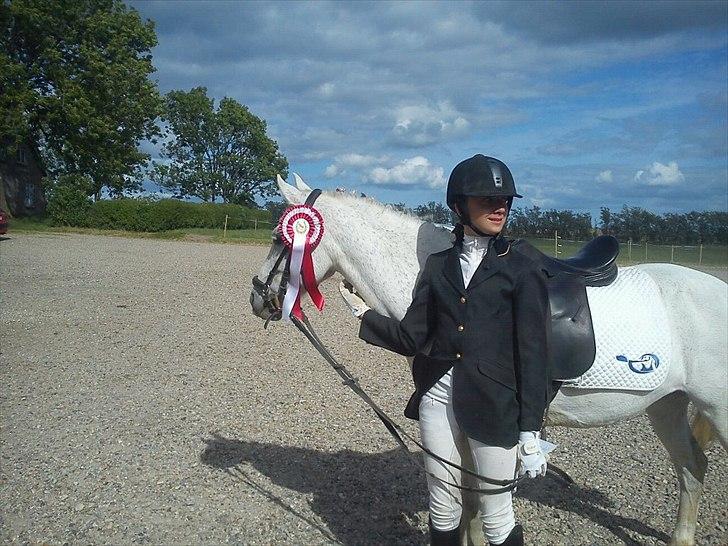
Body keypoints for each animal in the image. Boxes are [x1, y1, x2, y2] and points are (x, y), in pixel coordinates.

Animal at [250, 175, 728, 544]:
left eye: (278, 237)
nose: (258, 297)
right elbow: (467, 499)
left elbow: (481, 503)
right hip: (665, 405)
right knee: (692, 467)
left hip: (717, 411)